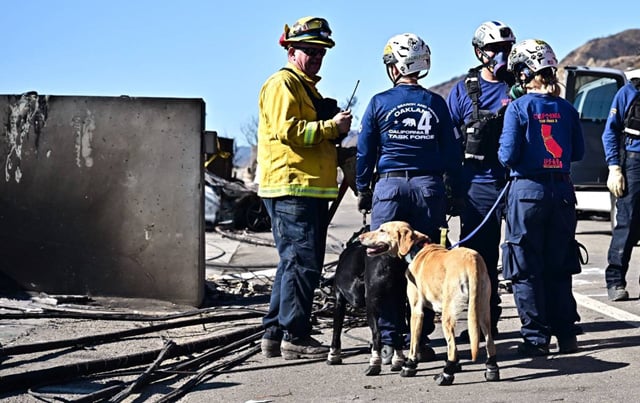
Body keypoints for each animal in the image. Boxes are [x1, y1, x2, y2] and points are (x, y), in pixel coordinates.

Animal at [328, 240, 408, 376]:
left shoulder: (339, 300)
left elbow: (336, 330)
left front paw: (333, 355)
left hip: (372, 306)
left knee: (377, 335)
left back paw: (374, 364)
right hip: (399, 303)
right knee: (398, 333)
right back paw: (397, 361)